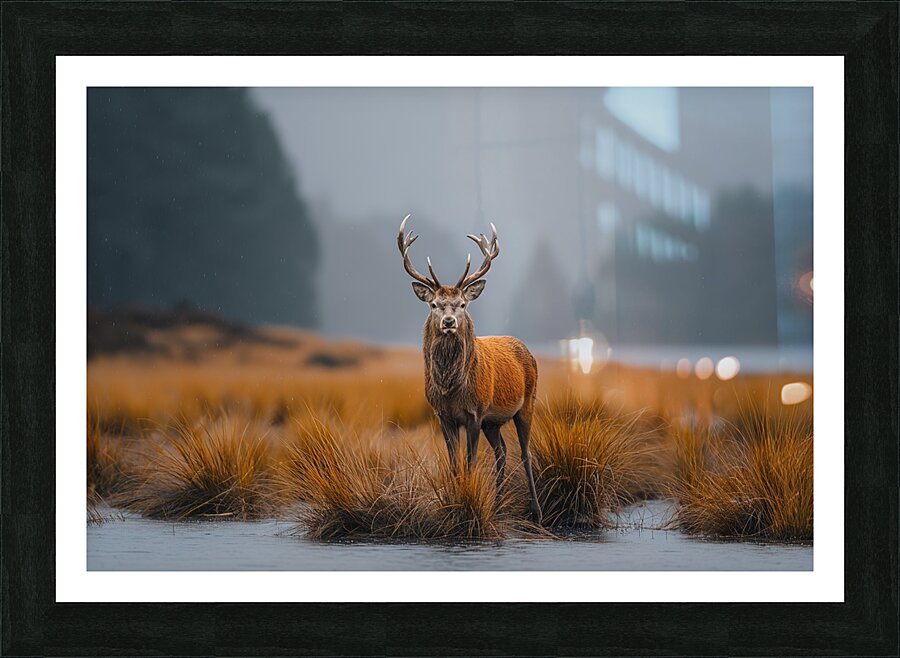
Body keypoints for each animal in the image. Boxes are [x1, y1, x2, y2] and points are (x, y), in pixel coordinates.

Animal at [397, 215, 543, 523]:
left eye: (462, 304)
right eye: (434, 304)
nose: (449, 322)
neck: (452, 389)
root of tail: (526, 348)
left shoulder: (475, 411)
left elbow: (470, 461)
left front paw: (468, 502)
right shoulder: (443, 415)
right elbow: (454, 463)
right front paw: (454, 502)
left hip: (527, 403)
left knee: (525, 453)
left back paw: (536, 511)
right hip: (493, 421)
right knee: (502, 451)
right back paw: (497, 505)